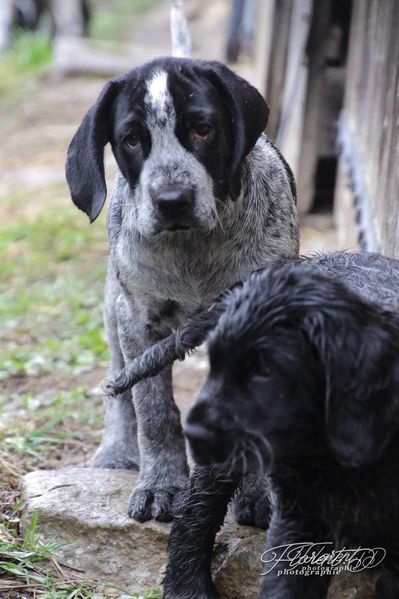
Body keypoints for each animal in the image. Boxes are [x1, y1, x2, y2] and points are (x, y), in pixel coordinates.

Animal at [64, 57, 298, 524]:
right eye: (132, 140)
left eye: (203, 130)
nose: (172, 200)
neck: (192, 249)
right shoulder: (139, 324)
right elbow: (153, 409)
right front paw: (161, 485)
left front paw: (259, 493)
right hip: (113, 310)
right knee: (118, 386)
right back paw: (117, 450)